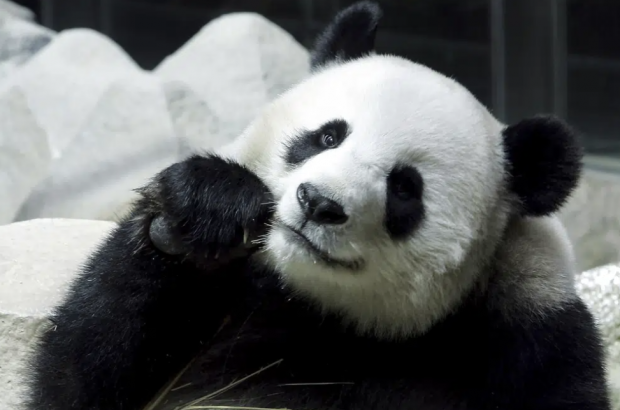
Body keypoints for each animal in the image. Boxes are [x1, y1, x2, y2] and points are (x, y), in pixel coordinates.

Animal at [25, 3, 612, 410]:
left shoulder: (530, 337)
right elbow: (76, 376)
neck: (328, 315)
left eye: (405, 188)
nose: (320, 202)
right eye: (327, 136)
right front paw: (205, 208)